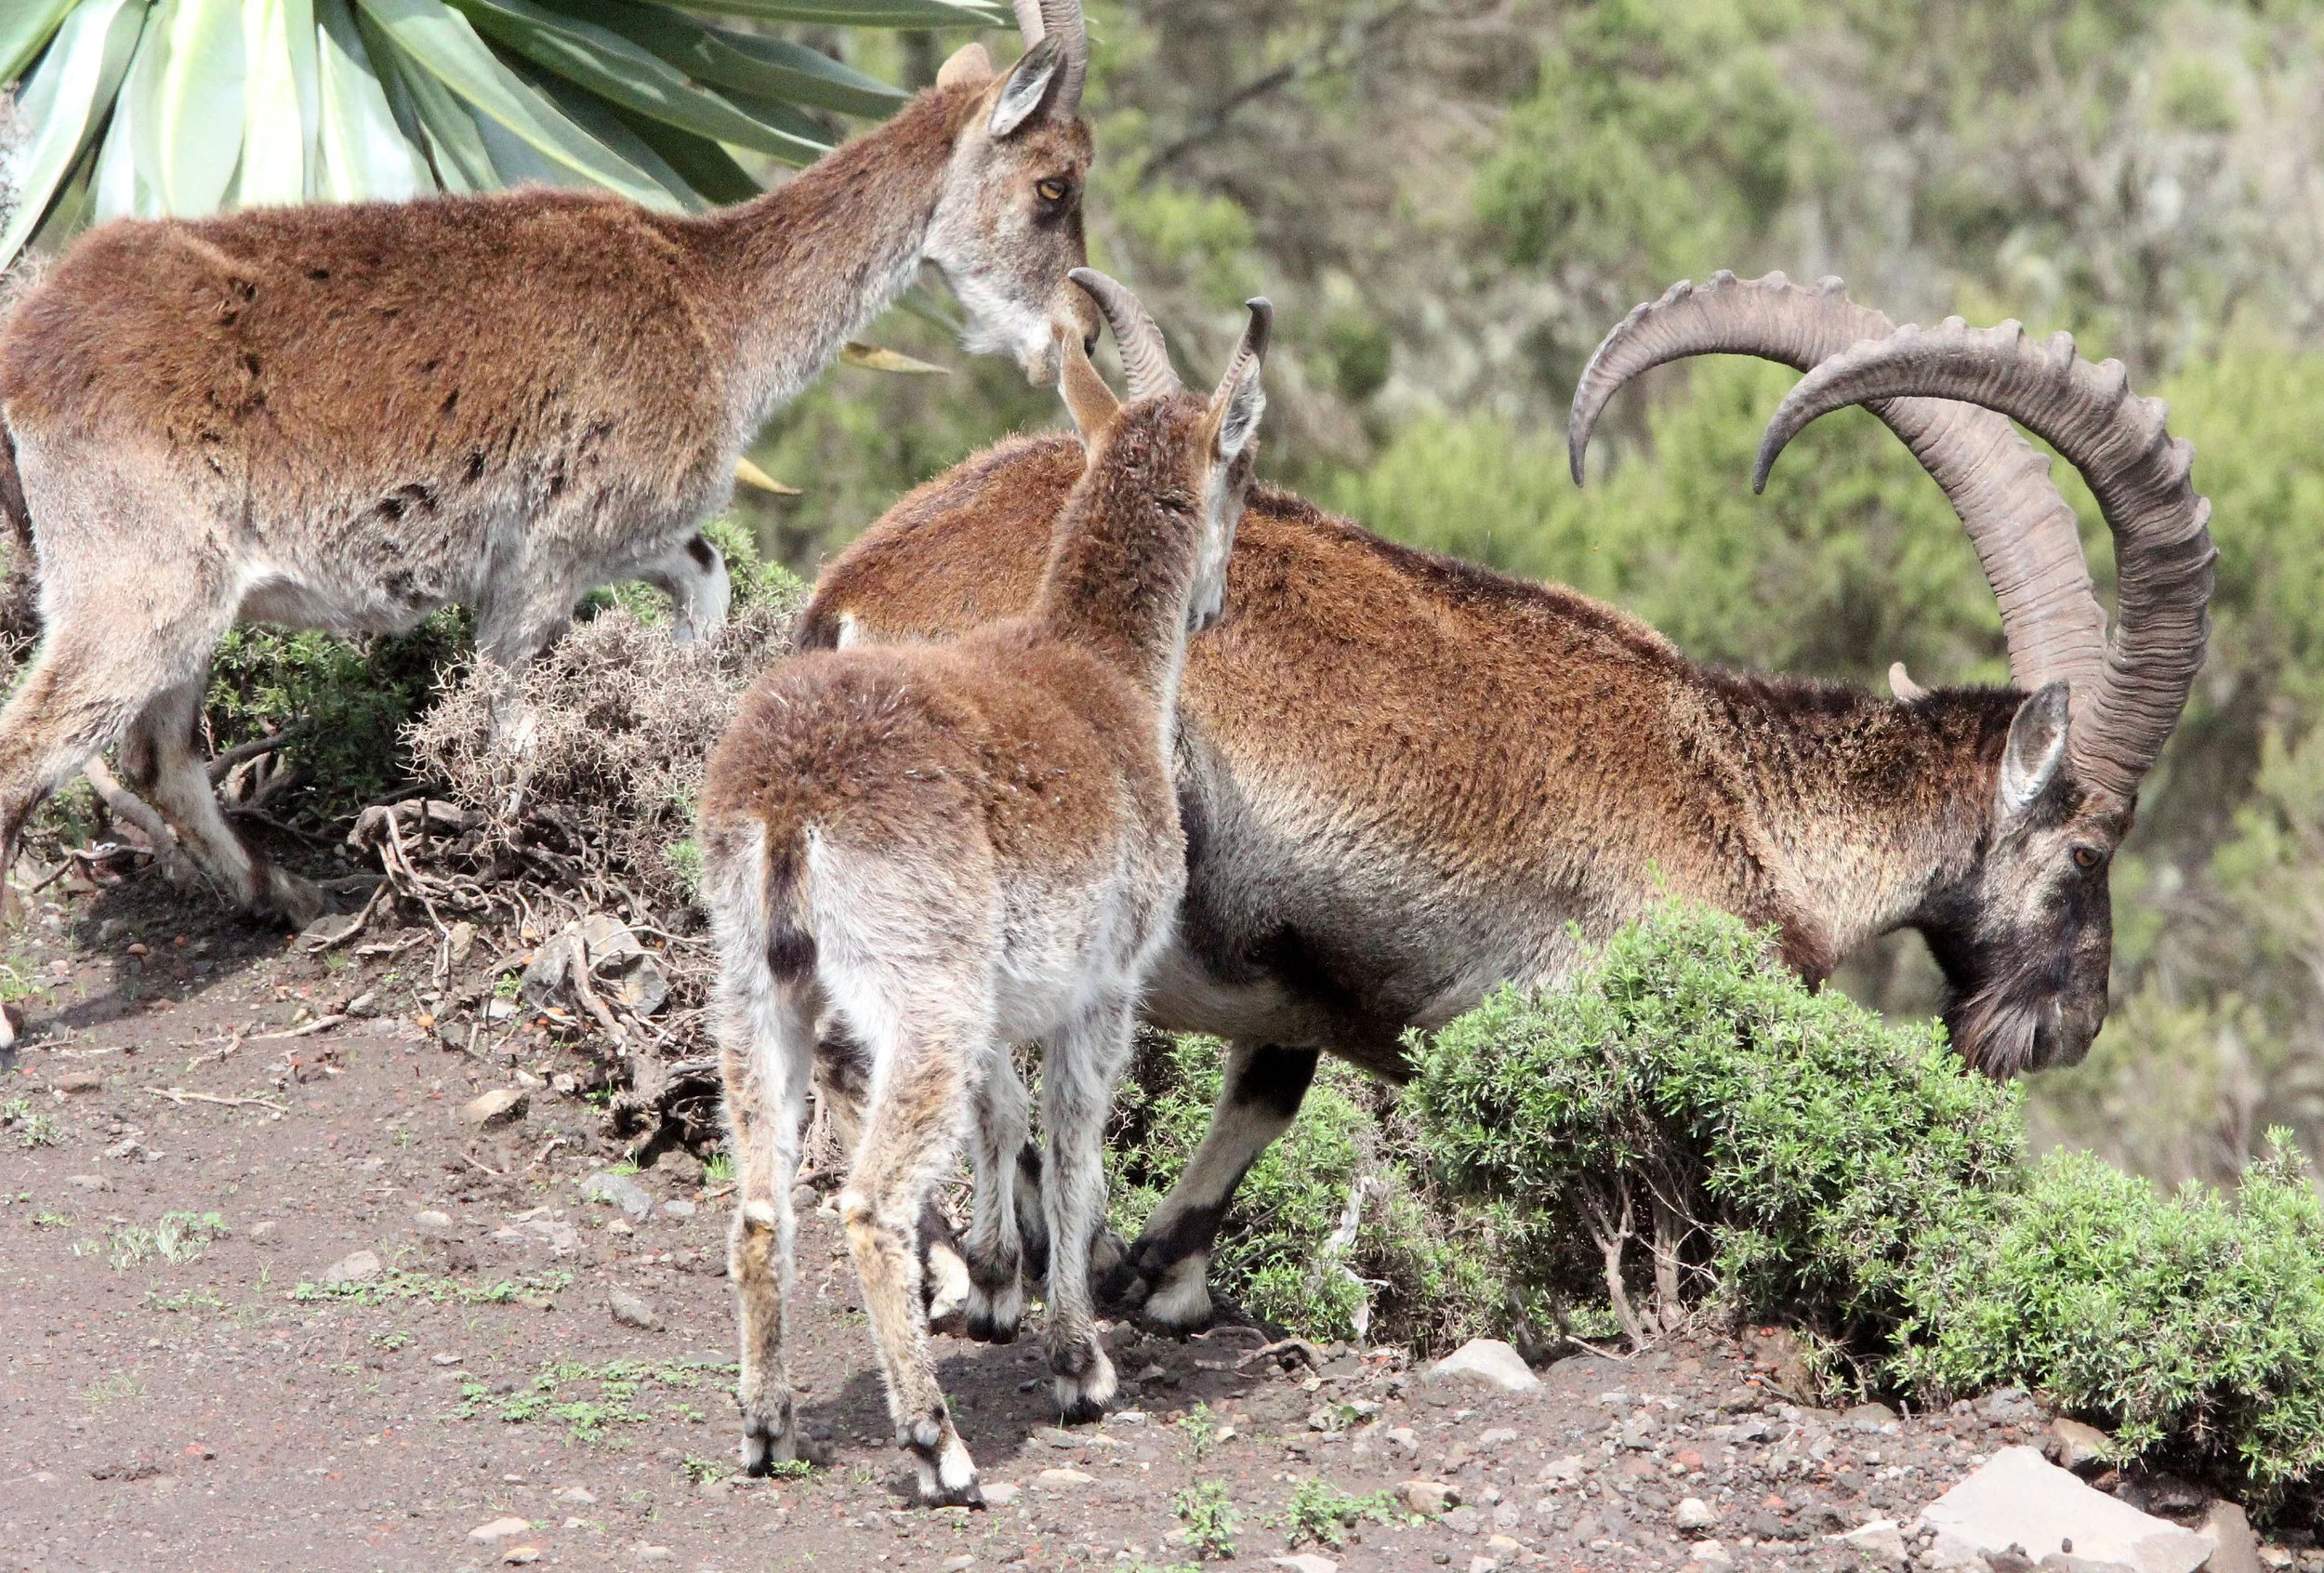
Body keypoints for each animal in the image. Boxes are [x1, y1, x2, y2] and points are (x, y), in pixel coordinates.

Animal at [0, 1, 1097, 1049]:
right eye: (1054, 186)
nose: (1076, 333)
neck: (711, 308)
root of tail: (29, 352)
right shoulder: (544, 559)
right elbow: (510, 726)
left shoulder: (631, 535)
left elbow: (704, 581)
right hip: (136, 576)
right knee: (37, 745)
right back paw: (20, 1012)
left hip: (185, 595)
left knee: (158, 757)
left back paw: (287, 894)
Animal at [695, 271, 1269, 1501]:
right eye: (1241, 476)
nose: (1214, 602)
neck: (1098, 670)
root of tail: (789, 811)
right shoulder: (1101, 989)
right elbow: (1076, 1147)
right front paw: (1078, 1364)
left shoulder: (1010, 994)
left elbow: (1005, 1113)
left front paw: (1003, 1283)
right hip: (919, 995)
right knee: (868, 1203)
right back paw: (937, 1445)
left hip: (760, 989)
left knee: (760, 1205)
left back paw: (769, 1429)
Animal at [799, 271, 2215, 1333]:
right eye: (2087, 848)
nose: (2064, 1029)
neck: (1744, 798)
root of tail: (858, 593)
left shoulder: (1304, 983)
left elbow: (1263, 1096)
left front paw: (1164, 1283)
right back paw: (957, 1273)